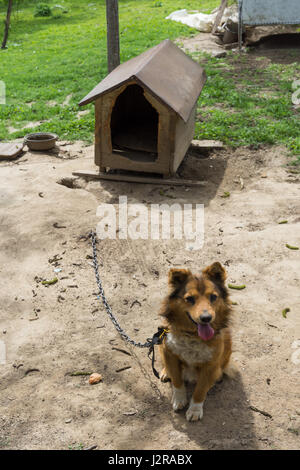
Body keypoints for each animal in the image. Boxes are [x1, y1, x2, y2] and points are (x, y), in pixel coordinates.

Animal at [158, 262, 238, 420]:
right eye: (189, 299)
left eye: (213, 297)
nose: (206, 318)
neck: (193, 336)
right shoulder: (169, 351)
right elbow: (177, 381)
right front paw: (179, 399)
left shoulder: (210, 365)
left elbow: (200, 390)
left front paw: (195, 409)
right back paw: (165, 372)